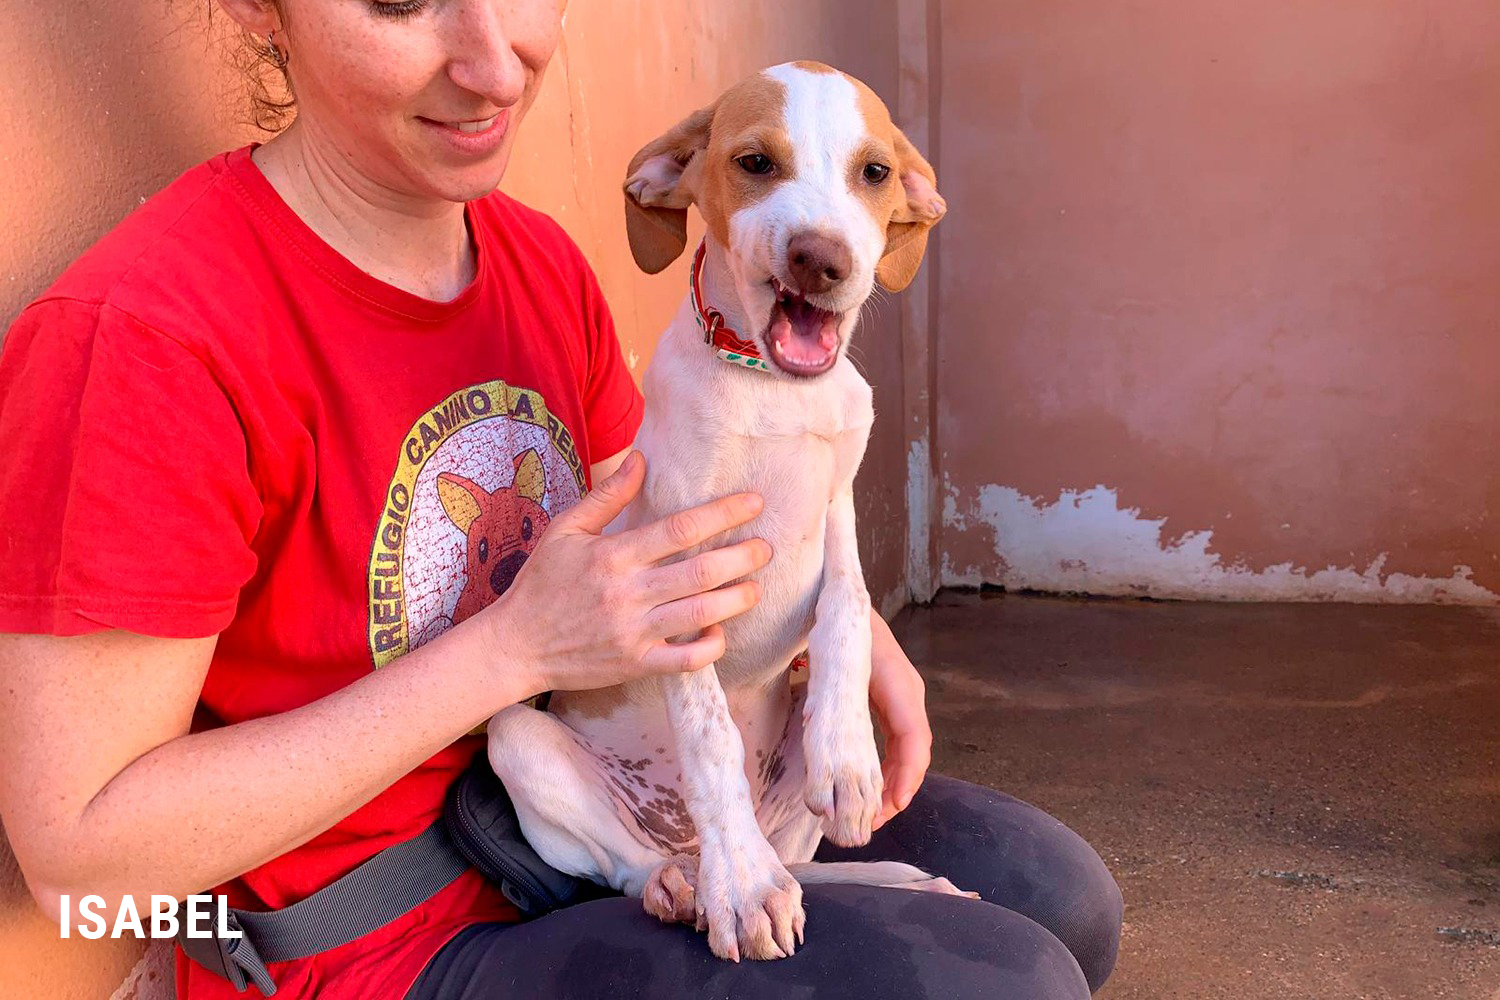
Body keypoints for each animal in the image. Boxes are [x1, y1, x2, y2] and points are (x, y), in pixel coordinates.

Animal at [486, 61, 951, 962]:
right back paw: (692, 885)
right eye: (755, 163)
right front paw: (743, 891)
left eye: (876, 172)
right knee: (627, 863)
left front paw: (849, 755)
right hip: (516, 741)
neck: (771, 390)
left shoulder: (839, 514)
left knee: (794, 854)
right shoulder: (674, 580)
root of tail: (680, 841)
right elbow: (708, 737)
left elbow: (847, 613)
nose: (821, 260)